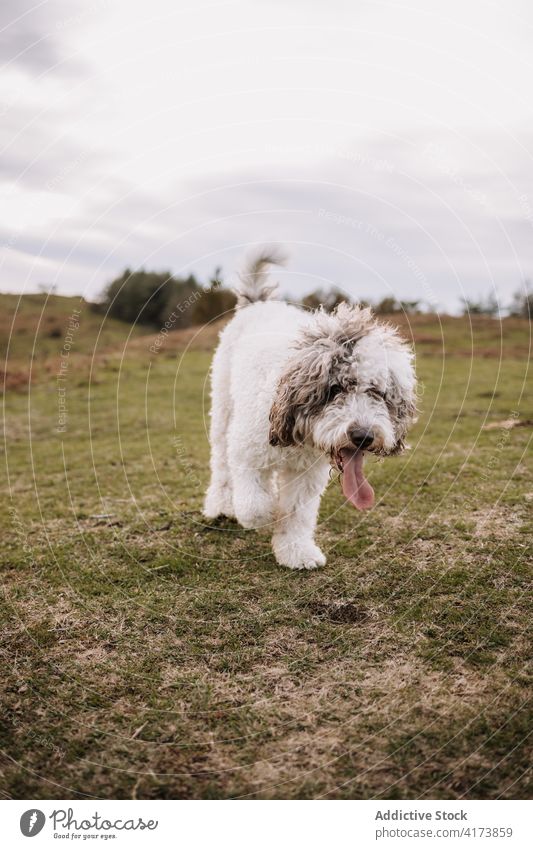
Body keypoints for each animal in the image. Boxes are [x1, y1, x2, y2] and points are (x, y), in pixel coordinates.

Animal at [204, 247, 416, 568]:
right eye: (335, 389)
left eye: (377, 392)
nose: (363, 436)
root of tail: (258, 303)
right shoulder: (247, 451)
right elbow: (255, 506)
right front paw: (266, 511)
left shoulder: (306, 474)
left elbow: (297, 513)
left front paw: (297, 552)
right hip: (223, 407)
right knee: (221, 462)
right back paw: (220, 505)